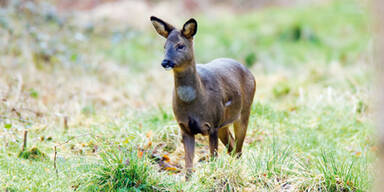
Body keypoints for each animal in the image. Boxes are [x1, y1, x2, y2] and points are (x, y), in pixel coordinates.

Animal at [150, 15, 255, 178]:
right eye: (164, 46)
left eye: (180, 45)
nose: (165, 62)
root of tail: (249, 71)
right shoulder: (184, 127)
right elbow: (188, 163)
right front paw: (189, 180)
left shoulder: (212, 125)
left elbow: (213, 157)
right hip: (224, 123)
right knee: (232, 147)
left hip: (244, 111)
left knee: (238, 148)